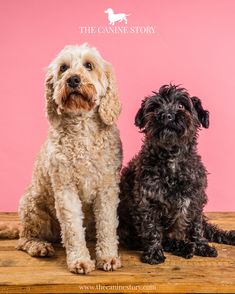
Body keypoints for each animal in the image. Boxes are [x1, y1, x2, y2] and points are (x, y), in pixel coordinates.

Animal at [16, 43, 122, 274]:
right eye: (63, 68)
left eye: (89, 65)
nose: (73, 79)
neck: (82, 127)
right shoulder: (65, 189)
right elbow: (73, 229)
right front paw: (80, 260)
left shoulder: (107, 187)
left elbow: (107, 224)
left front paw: (108, 256)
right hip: (32, 204)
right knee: (23, 239)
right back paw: (39, 245)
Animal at [118, 83, 235, 264]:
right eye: (155, 107)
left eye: (181, 106)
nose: (166, 116)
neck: (172, 156)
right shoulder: (146, 200)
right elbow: (152, 228)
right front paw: (154, 252)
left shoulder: (195, 199)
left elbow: (196, 227)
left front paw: (202, 246)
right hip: (129, 233)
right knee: (166, 239)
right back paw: (184, 247)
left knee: (209, 229)